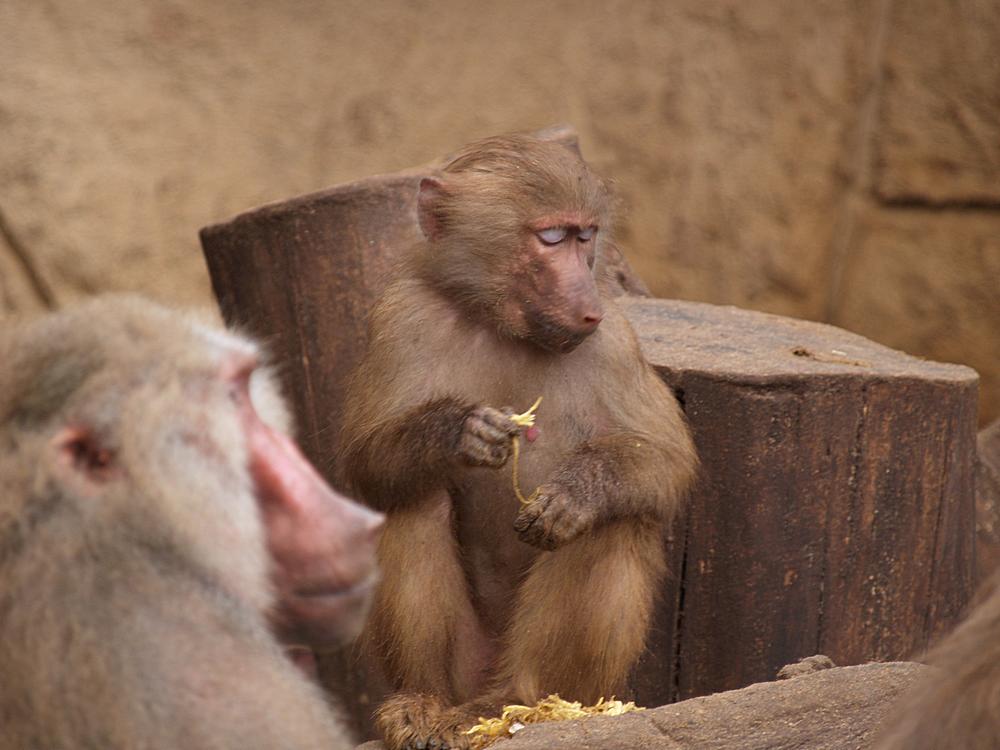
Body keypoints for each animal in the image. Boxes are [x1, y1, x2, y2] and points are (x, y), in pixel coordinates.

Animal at [337, 134, 698, 750]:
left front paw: (577, 491)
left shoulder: (615, 342)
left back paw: (515, 700)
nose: (587, 304)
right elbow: (365, 464)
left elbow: (668, 459)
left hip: (579, 688)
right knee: (412, 500)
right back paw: (421, 705)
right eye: (551, 238)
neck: (503, 325)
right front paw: (458, 431)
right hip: (465, 662)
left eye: (585, 237)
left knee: (610, 523)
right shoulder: (402, 317)